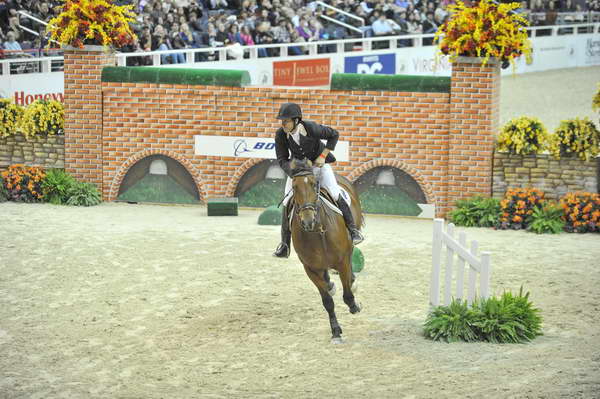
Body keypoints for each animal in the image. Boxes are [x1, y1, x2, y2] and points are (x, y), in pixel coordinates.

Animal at [288, 159, 364, 344]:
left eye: (314, 184)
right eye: (294, 187)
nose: (308, 221)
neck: (318, 230)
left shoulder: (342, 262)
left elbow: (347, 294)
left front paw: (354, 306)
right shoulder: (310, 268)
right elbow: (327, 301)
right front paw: (335, 331)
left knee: (351, 256)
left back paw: (352, 280)